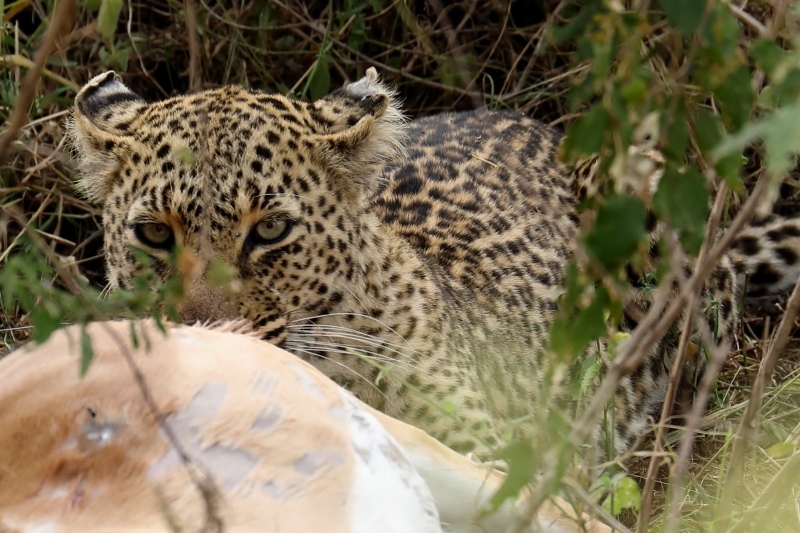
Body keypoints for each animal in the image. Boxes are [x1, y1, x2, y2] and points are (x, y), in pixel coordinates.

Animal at [67, 66, 800, 458]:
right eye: (155, 235)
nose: (207, 336)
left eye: (270, 229)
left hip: (643, 184)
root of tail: (536, 125)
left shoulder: (487, 452)